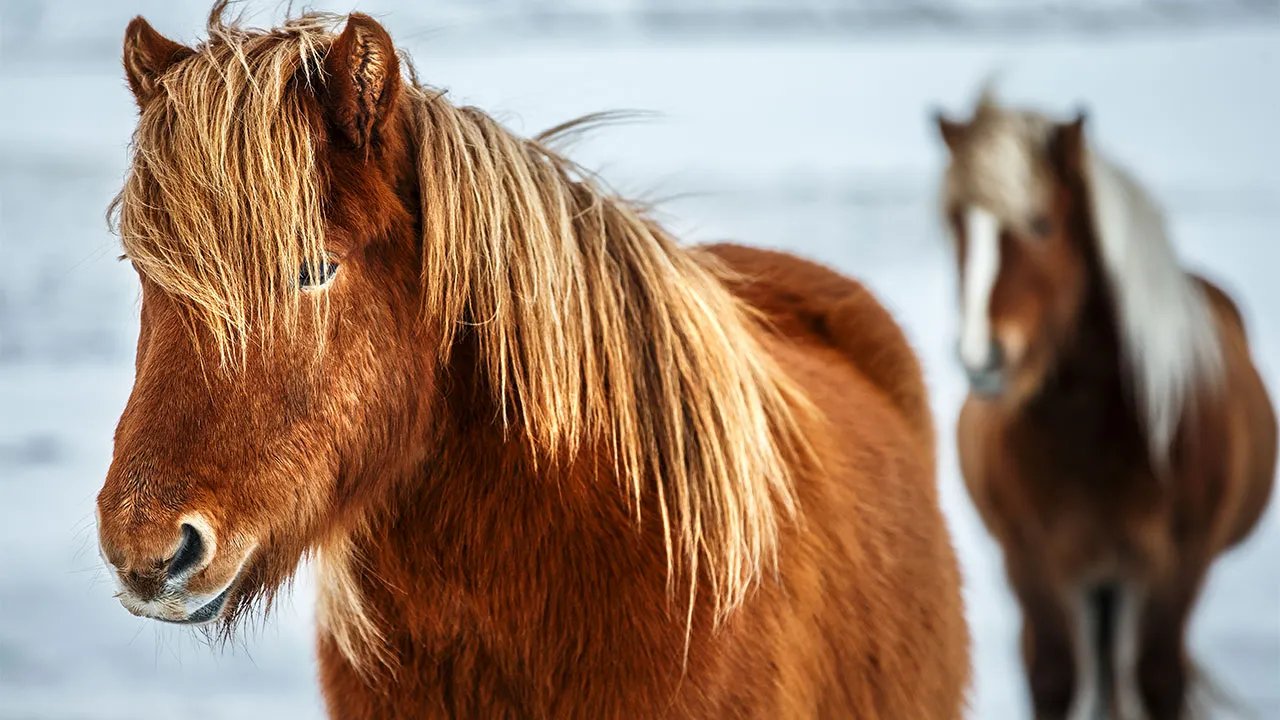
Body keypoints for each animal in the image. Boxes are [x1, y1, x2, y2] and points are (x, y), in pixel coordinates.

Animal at [934, 90, 1277, 720]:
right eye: (955, 225)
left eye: (1042, 224)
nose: (982, 357)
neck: (1095, 437)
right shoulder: (1032, 561)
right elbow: (1053, 677)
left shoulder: (1177, 564)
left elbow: (1158, 678)